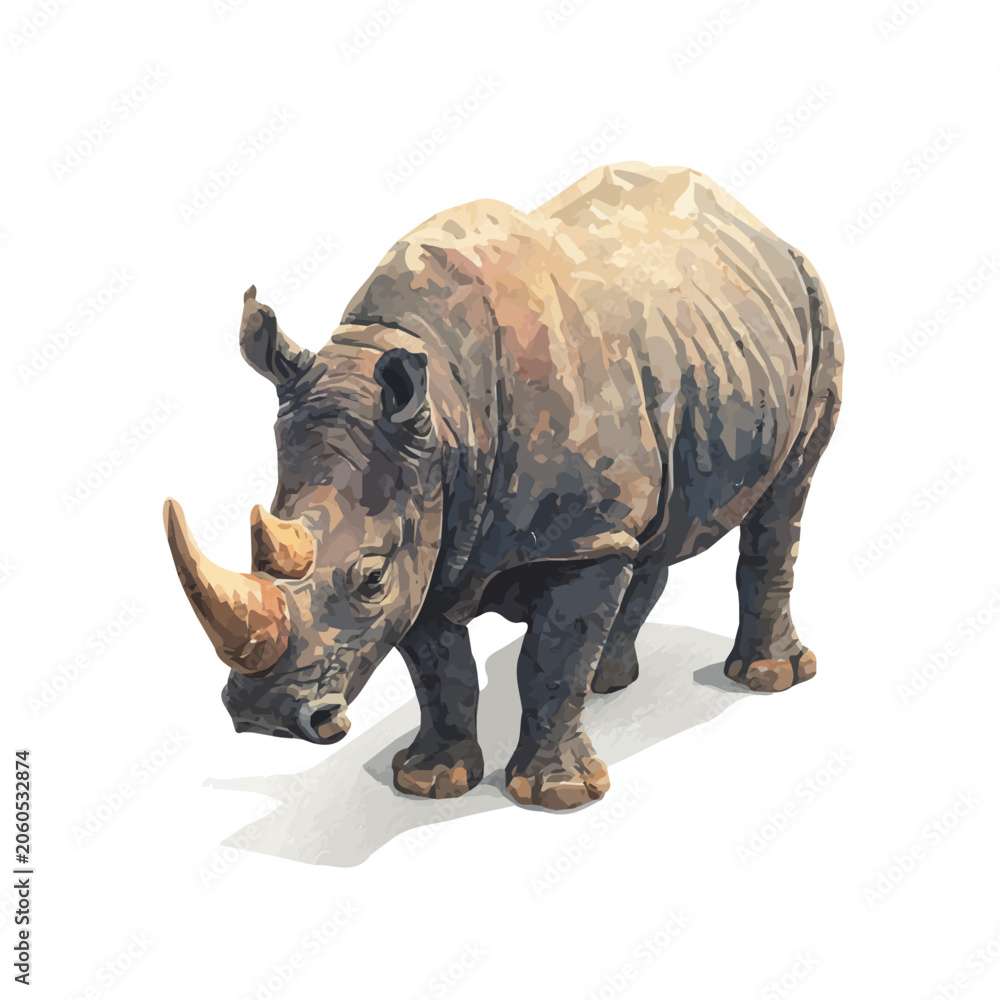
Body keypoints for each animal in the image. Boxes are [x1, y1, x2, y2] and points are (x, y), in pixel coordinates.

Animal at [164, 162, 843, 811]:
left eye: (372, 578)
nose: (266, 719)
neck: (446, 415)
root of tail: (757, 226)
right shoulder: (434, 526)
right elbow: (439, 668)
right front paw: (430, 782)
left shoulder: (574, 538)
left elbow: (550, 659)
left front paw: (557, 795)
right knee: (652, 529)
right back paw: (612, 683)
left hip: (814, 306)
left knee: (783, 500)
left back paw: (765, 677)